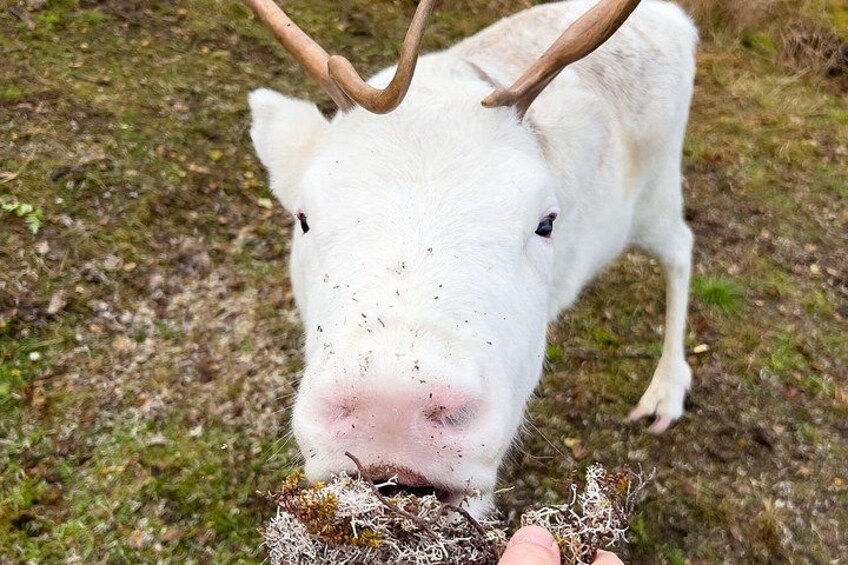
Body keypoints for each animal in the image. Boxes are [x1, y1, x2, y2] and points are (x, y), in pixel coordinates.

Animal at [244, 0, 698, 517]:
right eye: (302, 217)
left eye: (546, 222)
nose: (390, 406)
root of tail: (678, 20)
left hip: (654, 198)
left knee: (681, 248)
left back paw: (666, 390)